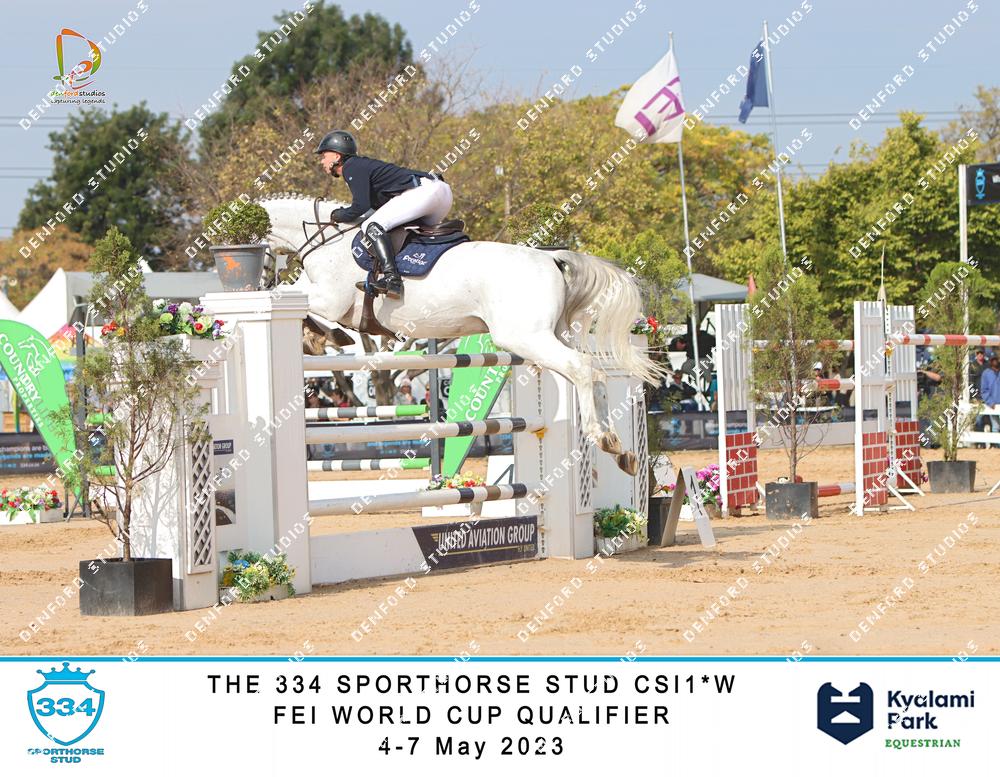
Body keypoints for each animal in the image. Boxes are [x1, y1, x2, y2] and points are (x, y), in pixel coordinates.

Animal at [258, 193, 668, 475]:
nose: (258, 280)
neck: (326, 242)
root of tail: (551, 258)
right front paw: (320, 338)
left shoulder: (330, 300)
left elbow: (297, 301)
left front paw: (317, 337)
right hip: (548, 336)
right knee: (593, 372)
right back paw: (622, 451)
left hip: (525, 337)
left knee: (583, 368)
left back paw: (605, 439)